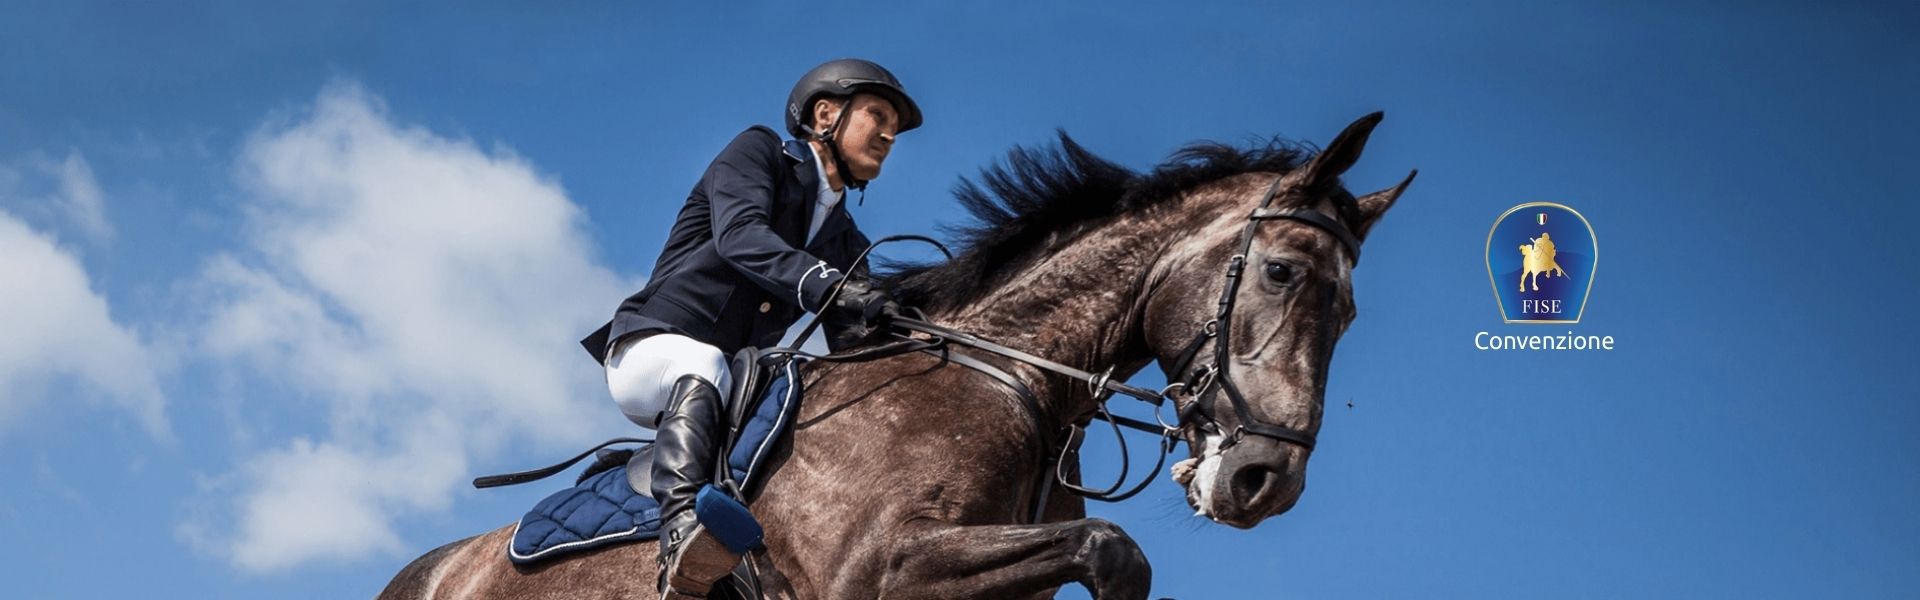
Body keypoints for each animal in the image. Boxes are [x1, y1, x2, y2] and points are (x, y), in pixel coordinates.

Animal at [378, 112, 1415, 599]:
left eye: (1352, 312)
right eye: (1280, 271)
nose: (1264, 481)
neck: (1012, 380)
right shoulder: (879, 570)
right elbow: (1113, 549)